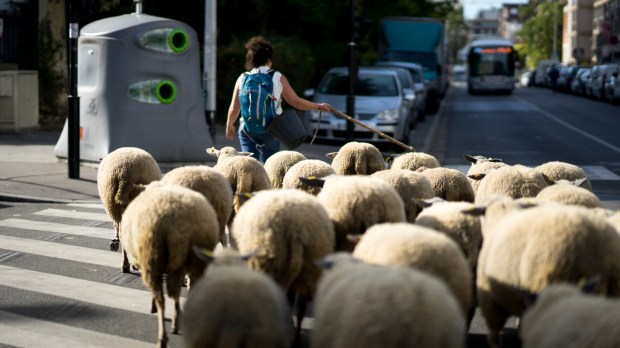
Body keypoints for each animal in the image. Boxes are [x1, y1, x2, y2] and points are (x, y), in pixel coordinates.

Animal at [119, 184, 220, 346]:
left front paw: (153, 306)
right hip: (193, 261)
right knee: (187, 289)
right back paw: (180, 320)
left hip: (153, 256)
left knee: (162, 299)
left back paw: (163, 337)